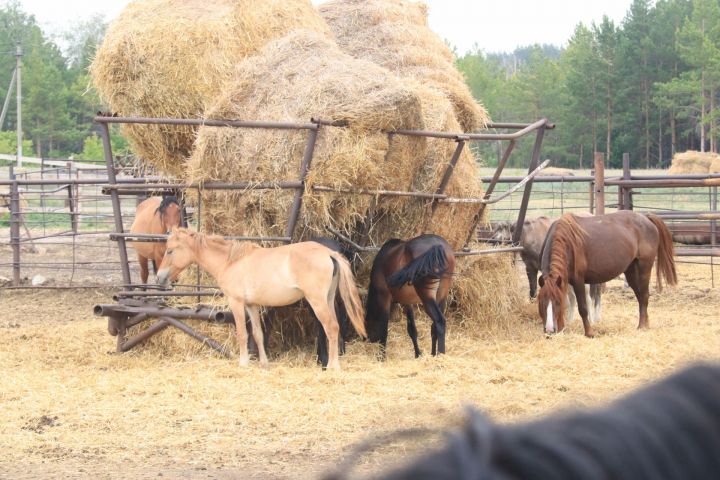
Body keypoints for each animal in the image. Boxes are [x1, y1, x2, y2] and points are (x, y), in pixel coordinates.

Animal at [158, 227, 368, 370]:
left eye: (170, 250)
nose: (159, 278)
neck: (231, 261)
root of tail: (329, 253)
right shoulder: (252, 305)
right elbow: (258, 334)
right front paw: (264, 364)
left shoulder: (237, 303)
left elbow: (242, 334)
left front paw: (243, 363)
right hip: (329, 300)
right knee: (336, 328)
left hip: (317, 302)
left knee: (331, 328)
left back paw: (332, 367)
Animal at [540, 210, 676, 338]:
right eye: (541, 302)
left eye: (557, 302)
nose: (549, 330)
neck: (567, 242)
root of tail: (646, 218)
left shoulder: (579, 281)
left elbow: (583, 307)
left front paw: (589, 332)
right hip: (631, 271)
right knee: (640, 296)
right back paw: (644, 324)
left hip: (644, 267)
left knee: (644, 295)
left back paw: (642, 326)